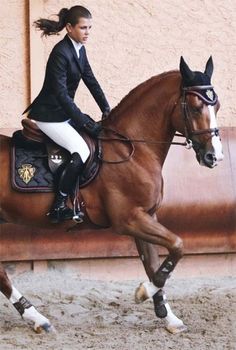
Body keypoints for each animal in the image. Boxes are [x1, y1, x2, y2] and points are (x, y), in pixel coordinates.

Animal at [0, 56, 223, 334]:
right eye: (194, 108)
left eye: (217, 107)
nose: (214, 157)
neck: (133, 149)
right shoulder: (128, 220)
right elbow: (178, 246)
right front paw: (143, 292)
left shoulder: (146, 216)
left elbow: (153, 263)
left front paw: (167, 316)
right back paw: (36, 317)